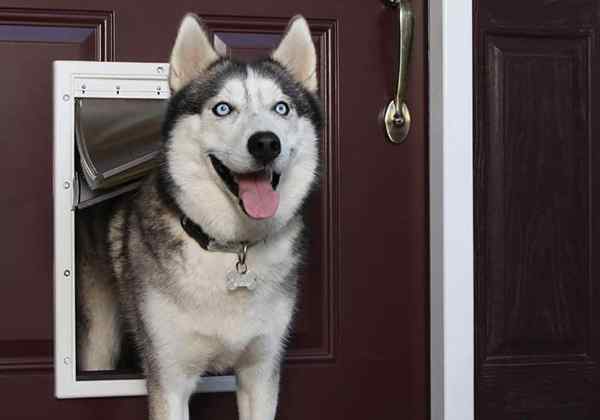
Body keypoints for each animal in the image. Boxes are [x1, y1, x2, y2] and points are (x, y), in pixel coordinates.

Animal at [78, 13, 324, 420]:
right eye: (223, 108)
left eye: (282, 108)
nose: (266, 142)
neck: (231, 248)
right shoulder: (170, 377)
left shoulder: (261, 373)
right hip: (101, 337)